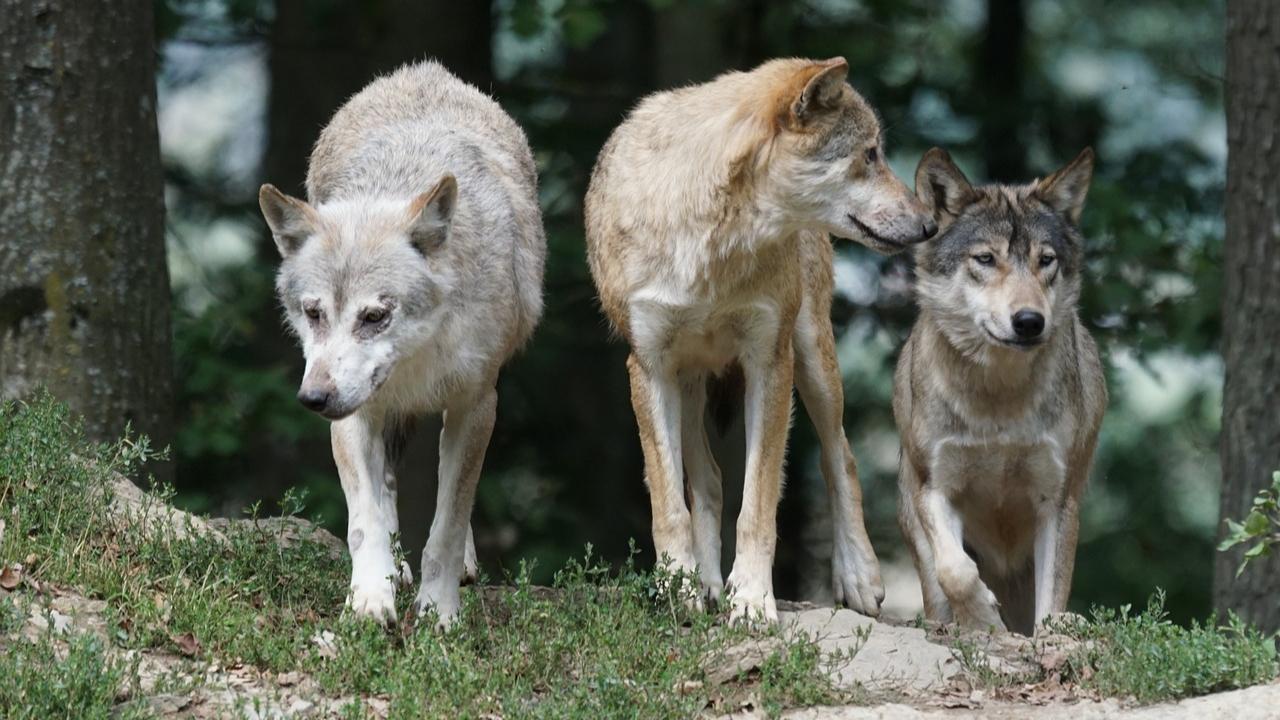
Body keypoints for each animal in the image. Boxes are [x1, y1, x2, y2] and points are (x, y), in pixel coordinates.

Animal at [254, 60, 545, 622]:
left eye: (374, 316)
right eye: (314, 313)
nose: (313, 398)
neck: (417, 359)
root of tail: (422, 70)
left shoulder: (477, 404)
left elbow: (448, 523)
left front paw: (440, 611)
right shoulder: (353, 413)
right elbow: (364, 520)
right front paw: (370, 598)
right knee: (386, 488)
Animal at [586, 56, 936, 620]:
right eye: (870, 154)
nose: (930, 225)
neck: (712, 243)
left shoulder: (769, 362)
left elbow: (758, 504)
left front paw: (750, 600)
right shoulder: (649, 368)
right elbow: (669, 504)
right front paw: (680, 589)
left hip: (812, 359)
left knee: (840, 455)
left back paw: (858, 576)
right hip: (688, 382)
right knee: (707, 479)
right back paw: (706, 584)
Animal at [896, 147, 1105, 632]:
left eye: (1045, 260)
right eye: (986, 259)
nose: (1029, 321)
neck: (998, 401)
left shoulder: (1057, 500)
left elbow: (1052, 601)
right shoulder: (934, 487)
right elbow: (955, 570)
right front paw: (983, 619)